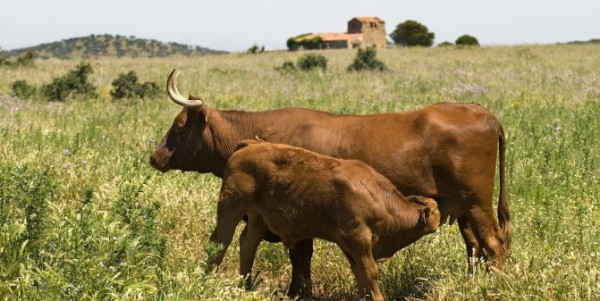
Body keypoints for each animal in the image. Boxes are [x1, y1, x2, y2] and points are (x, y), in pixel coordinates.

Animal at [210, 139, 440, 300]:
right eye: (436, 210)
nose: (442, 218)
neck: (376, 196)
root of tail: (250, 145)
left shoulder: (349, 244)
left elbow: (359, 273)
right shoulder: (358, 237)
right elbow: (369, 272)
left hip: (258, 218)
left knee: (248, 243)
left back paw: (245, 287)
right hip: (230, 207)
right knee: (219, 242)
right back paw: (209, 280)